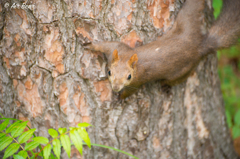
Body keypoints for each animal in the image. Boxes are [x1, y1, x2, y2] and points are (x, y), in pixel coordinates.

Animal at [84, 0, 240, 99]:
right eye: (109, 72)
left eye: (129, 76)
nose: (116, 88)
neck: (128, 58)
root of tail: (200, 45)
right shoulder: (118, 48)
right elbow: (105, 44)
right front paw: (88, 45)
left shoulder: (138, 81)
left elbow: (130, 92)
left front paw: (119, 98)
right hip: (186, 21)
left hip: (183, 69)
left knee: (174, 80)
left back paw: (165, 86)